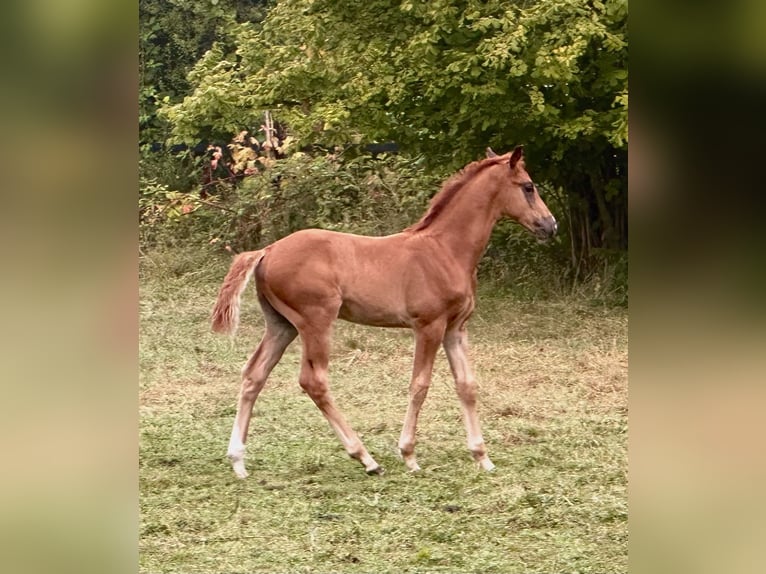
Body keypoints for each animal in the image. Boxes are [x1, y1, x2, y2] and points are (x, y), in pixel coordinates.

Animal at [210, 146, 560, 480]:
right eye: (528, 187)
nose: (551, 226)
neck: (445, 250)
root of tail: (267, 251)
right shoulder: (429, 326)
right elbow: (420, 385)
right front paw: (409, 455)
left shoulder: (455, 328)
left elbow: (467, 385)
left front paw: (482, 457)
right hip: (316, 321)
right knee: (314, 381)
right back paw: (367, 460)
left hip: (282, 325)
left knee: (254, 374)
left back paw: (238, 461)